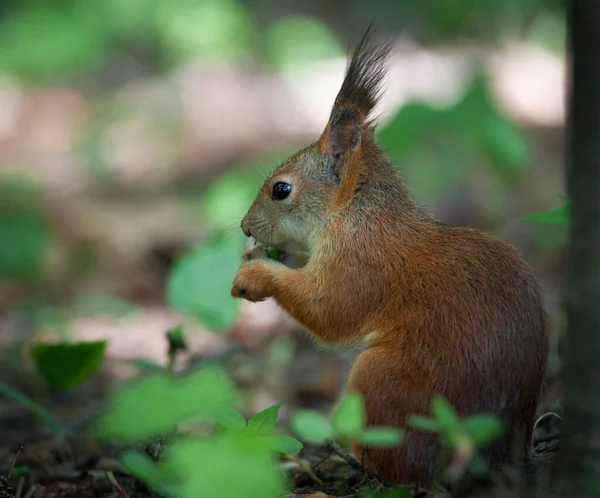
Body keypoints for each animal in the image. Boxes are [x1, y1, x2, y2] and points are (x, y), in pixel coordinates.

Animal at [230, 26, 548, 486]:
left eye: (281, 189)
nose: (245, 227)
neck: (356, 210)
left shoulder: (361, 260)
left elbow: (328, 309)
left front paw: (255, 275)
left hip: (384, 383)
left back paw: (360, 465)